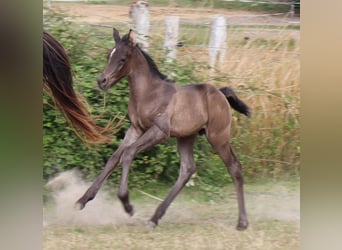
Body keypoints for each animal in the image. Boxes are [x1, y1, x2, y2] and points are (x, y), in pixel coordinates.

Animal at [77, 28, 248, 229]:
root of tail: (221, 94)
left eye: (122, 59)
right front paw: (82, 200)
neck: (148, 93)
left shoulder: (159, 131)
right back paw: (154, 218)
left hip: (217, 137)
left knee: (234, 167)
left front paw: (127, 204)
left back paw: (242, 222)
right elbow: (114, 158)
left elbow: (128, 153)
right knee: (187, 169)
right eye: (108, 56)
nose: (102, 81)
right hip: (186, 137)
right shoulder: (135, 129)